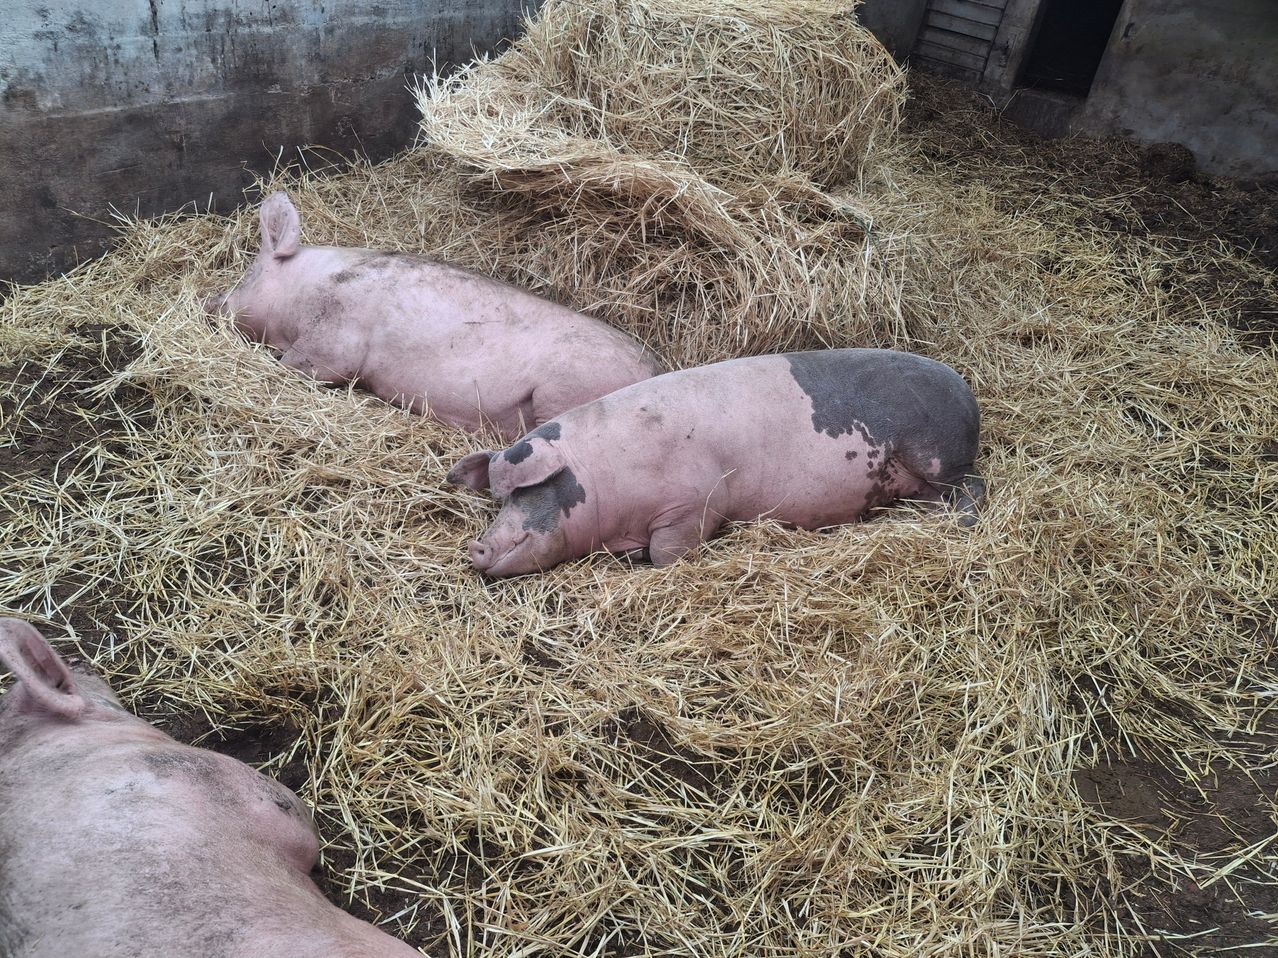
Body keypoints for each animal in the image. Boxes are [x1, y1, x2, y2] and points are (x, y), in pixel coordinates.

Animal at [205, 191, 664, 441]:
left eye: (248, 273)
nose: (210, 300)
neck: (304, 289)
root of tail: (656, 372)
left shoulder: (334, 339)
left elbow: (300, 364)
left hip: (567, 388)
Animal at [447, 348, 984, 576]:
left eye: (524, 491)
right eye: (497, 499)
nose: (476, 547)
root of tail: (965, 389)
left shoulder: (696, 501)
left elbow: (668, 551)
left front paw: (648, 563)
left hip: (938, 455)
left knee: (971, 490)